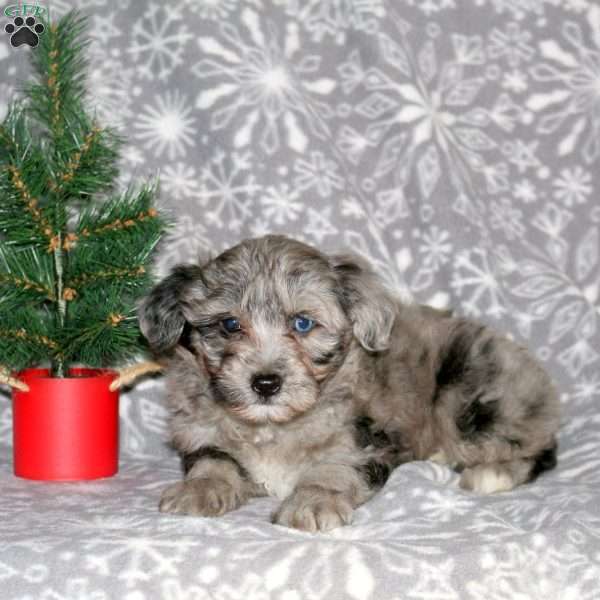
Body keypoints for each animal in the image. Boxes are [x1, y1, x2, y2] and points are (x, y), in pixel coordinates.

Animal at [138, 232, 560, 532]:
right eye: (229, 325)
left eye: (302, 323)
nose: (265, 383)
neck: (272, 427)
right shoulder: (200, 431)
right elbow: (214, 460)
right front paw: (198, 490)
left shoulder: (364, 439)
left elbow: (334, 468)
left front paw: (311, 503)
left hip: (471, 396)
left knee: (537, 448)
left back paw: (491, 473)